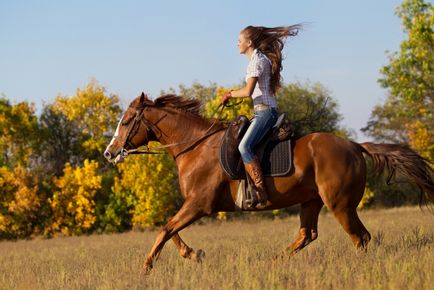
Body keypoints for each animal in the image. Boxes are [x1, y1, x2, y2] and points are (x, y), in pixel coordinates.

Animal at [103, 92, 432, 272]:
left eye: (127, 120)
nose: (109, 152)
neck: (195, 145)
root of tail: (354, 145)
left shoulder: (199, 204)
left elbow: (165, 229)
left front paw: (147, 267)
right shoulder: (193, 205)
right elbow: (169, 229)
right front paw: (192, 254)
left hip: (339, 205)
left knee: (360, 237)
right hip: (311, 201)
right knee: (308, 235)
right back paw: (274, 261)